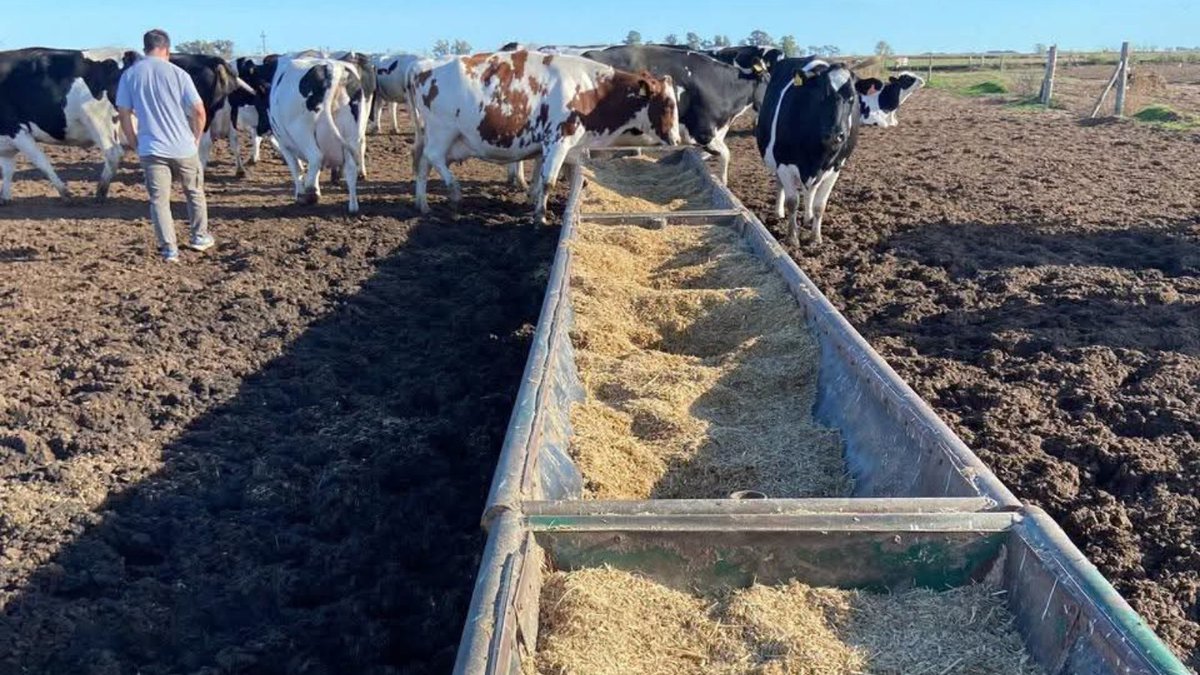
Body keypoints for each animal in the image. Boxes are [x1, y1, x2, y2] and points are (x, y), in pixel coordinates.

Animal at [0, 48, 127, 204]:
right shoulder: (6, 143)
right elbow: (8, 169)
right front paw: (5, 198)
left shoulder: (16, 130)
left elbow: (41, 162)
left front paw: (65, 194)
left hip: (99, 122)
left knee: (113, 153)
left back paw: (100, 193)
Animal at [267, 56, 367, 213]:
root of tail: (335, 69)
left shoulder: (284, 144)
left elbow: (296, 168)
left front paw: (302, 193)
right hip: (352, 134)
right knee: (351, 169)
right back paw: (353, 206)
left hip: (301, 130)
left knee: (316, 156)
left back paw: (309, 192)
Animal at [409, 51, 680, 224]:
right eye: (668, 104)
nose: (676, 139)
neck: (590, 91)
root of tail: (422, 66)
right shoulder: (557, 141)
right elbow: (549, 180)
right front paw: (540, 216)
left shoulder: (558, 147)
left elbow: (554, 177)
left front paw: (539, 202)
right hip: (443, 130)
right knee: (433, 157)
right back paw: (454, 192)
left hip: (437, 135)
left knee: (423, 164)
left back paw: (423, 205)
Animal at [757, 58, 860, 247]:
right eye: (821, 95)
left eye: (852, 98)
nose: (836, 134)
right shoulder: (784, 163)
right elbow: (792, 202)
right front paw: (792, 238)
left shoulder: (835, 169)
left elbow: (820, 205)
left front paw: (815, 237)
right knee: (781, 185)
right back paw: (779, 212)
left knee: (811, 190)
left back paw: (808, 218)